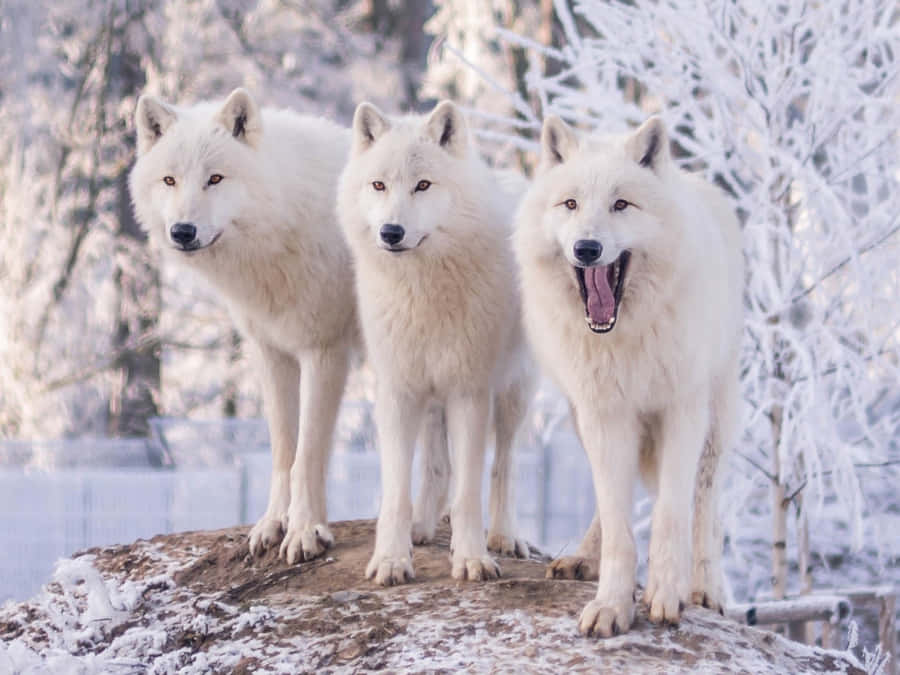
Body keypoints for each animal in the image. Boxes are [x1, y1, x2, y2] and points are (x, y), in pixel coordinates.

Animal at [129, 88, 359, 564]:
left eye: (215, 179)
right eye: (169, 180)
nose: (182, 231)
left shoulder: (325, 352)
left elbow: (308, 453)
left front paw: (304, 532)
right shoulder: (272, 353)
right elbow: (284, 451)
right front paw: (274, 525)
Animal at [337, 100, 534, 585]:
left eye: (423, 185)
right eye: (379, 184)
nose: (390, 232)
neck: (420, 291)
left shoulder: (470, 392)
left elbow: (469, 493)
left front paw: (472, 559)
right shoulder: (398, 391)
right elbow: (396, 492)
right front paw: (392, 558)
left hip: (514, 393)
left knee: (504, 465)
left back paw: (505, 535)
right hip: (429, 397)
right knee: (436, 466)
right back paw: (422, 527)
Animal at [514, 115, 743, 637]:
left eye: (621, 204)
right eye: (571, 204)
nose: (587, 248)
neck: (625, 335)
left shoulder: (681, 411)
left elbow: (671, 516)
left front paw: (666, 595)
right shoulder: (606, 415)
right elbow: (618, 524)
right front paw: (612, 605)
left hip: (715, 422)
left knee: (706, 507)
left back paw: (708, 588)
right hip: (581, 420)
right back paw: (583, 558)